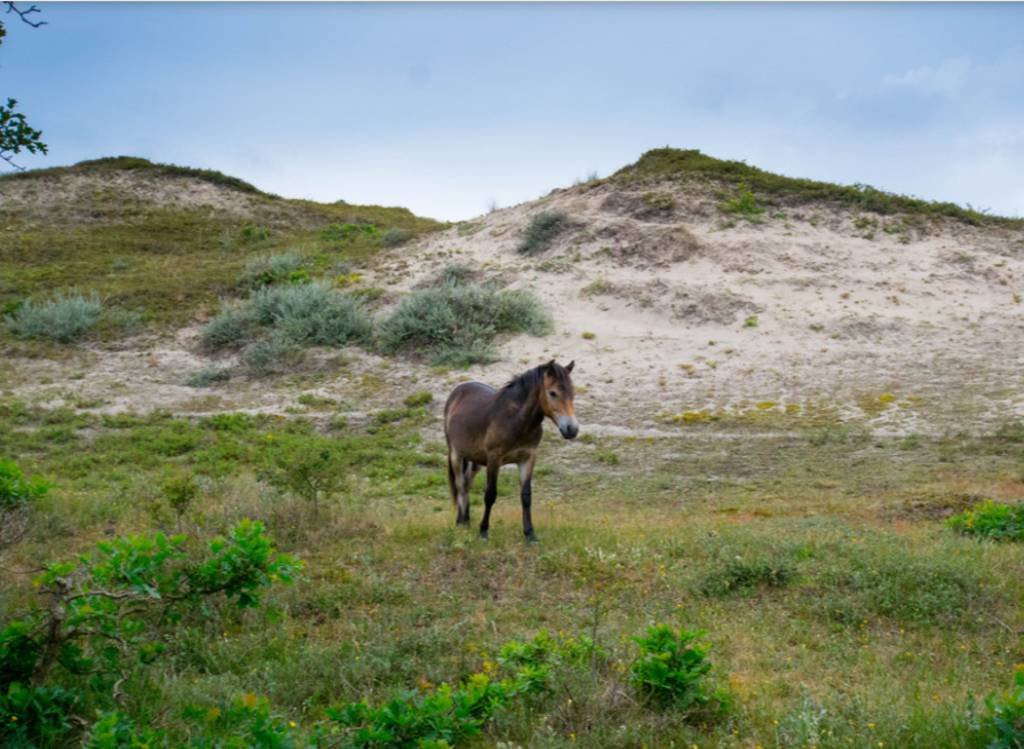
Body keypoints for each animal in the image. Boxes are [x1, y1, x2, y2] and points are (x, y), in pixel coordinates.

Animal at [444, 359, 579, 542]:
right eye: (553, 393)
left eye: (573, 393)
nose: (572, 429)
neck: (516, 420)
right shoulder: (494, 459)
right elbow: (490, 495)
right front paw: (483, 531)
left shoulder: (528, 459)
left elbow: (526, 496)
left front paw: (530, 534)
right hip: (455, 454)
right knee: (459, 485)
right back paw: (459, 522)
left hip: (474, 459)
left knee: (466, 484)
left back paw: (466, 520)